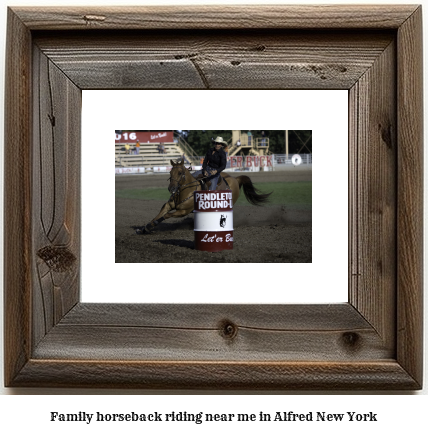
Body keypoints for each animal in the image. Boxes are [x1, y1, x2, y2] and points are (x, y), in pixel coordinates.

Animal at [142, 159, 272, 234]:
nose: (171, 189)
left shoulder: (183, 211)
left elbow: (166, 215)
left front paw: (152, 225)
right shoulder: (168, 205)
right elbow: (159, 214)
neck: (187, 191)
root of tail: (235, 179)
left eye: (180, 173)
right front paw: (146, 227)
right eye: (170, 172)